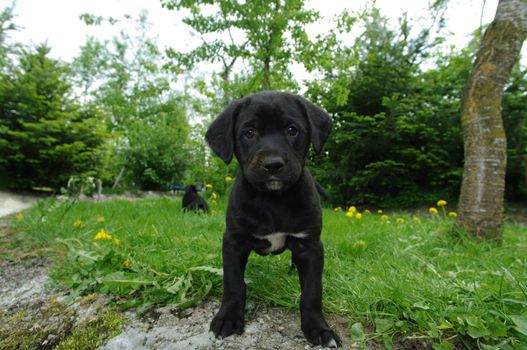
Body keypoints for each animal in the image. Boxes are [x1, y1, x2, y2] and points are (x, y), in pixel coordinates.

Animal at [206, 91, 342, 348]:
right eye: (249, 132)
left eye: (292, 130)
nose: (273, 164)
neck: (273, 199)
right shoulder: (234, 241)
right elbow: (233, 283)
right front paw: (227, 318)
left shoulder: (310, 245)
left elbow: (311, 292)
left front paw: (319, 329)